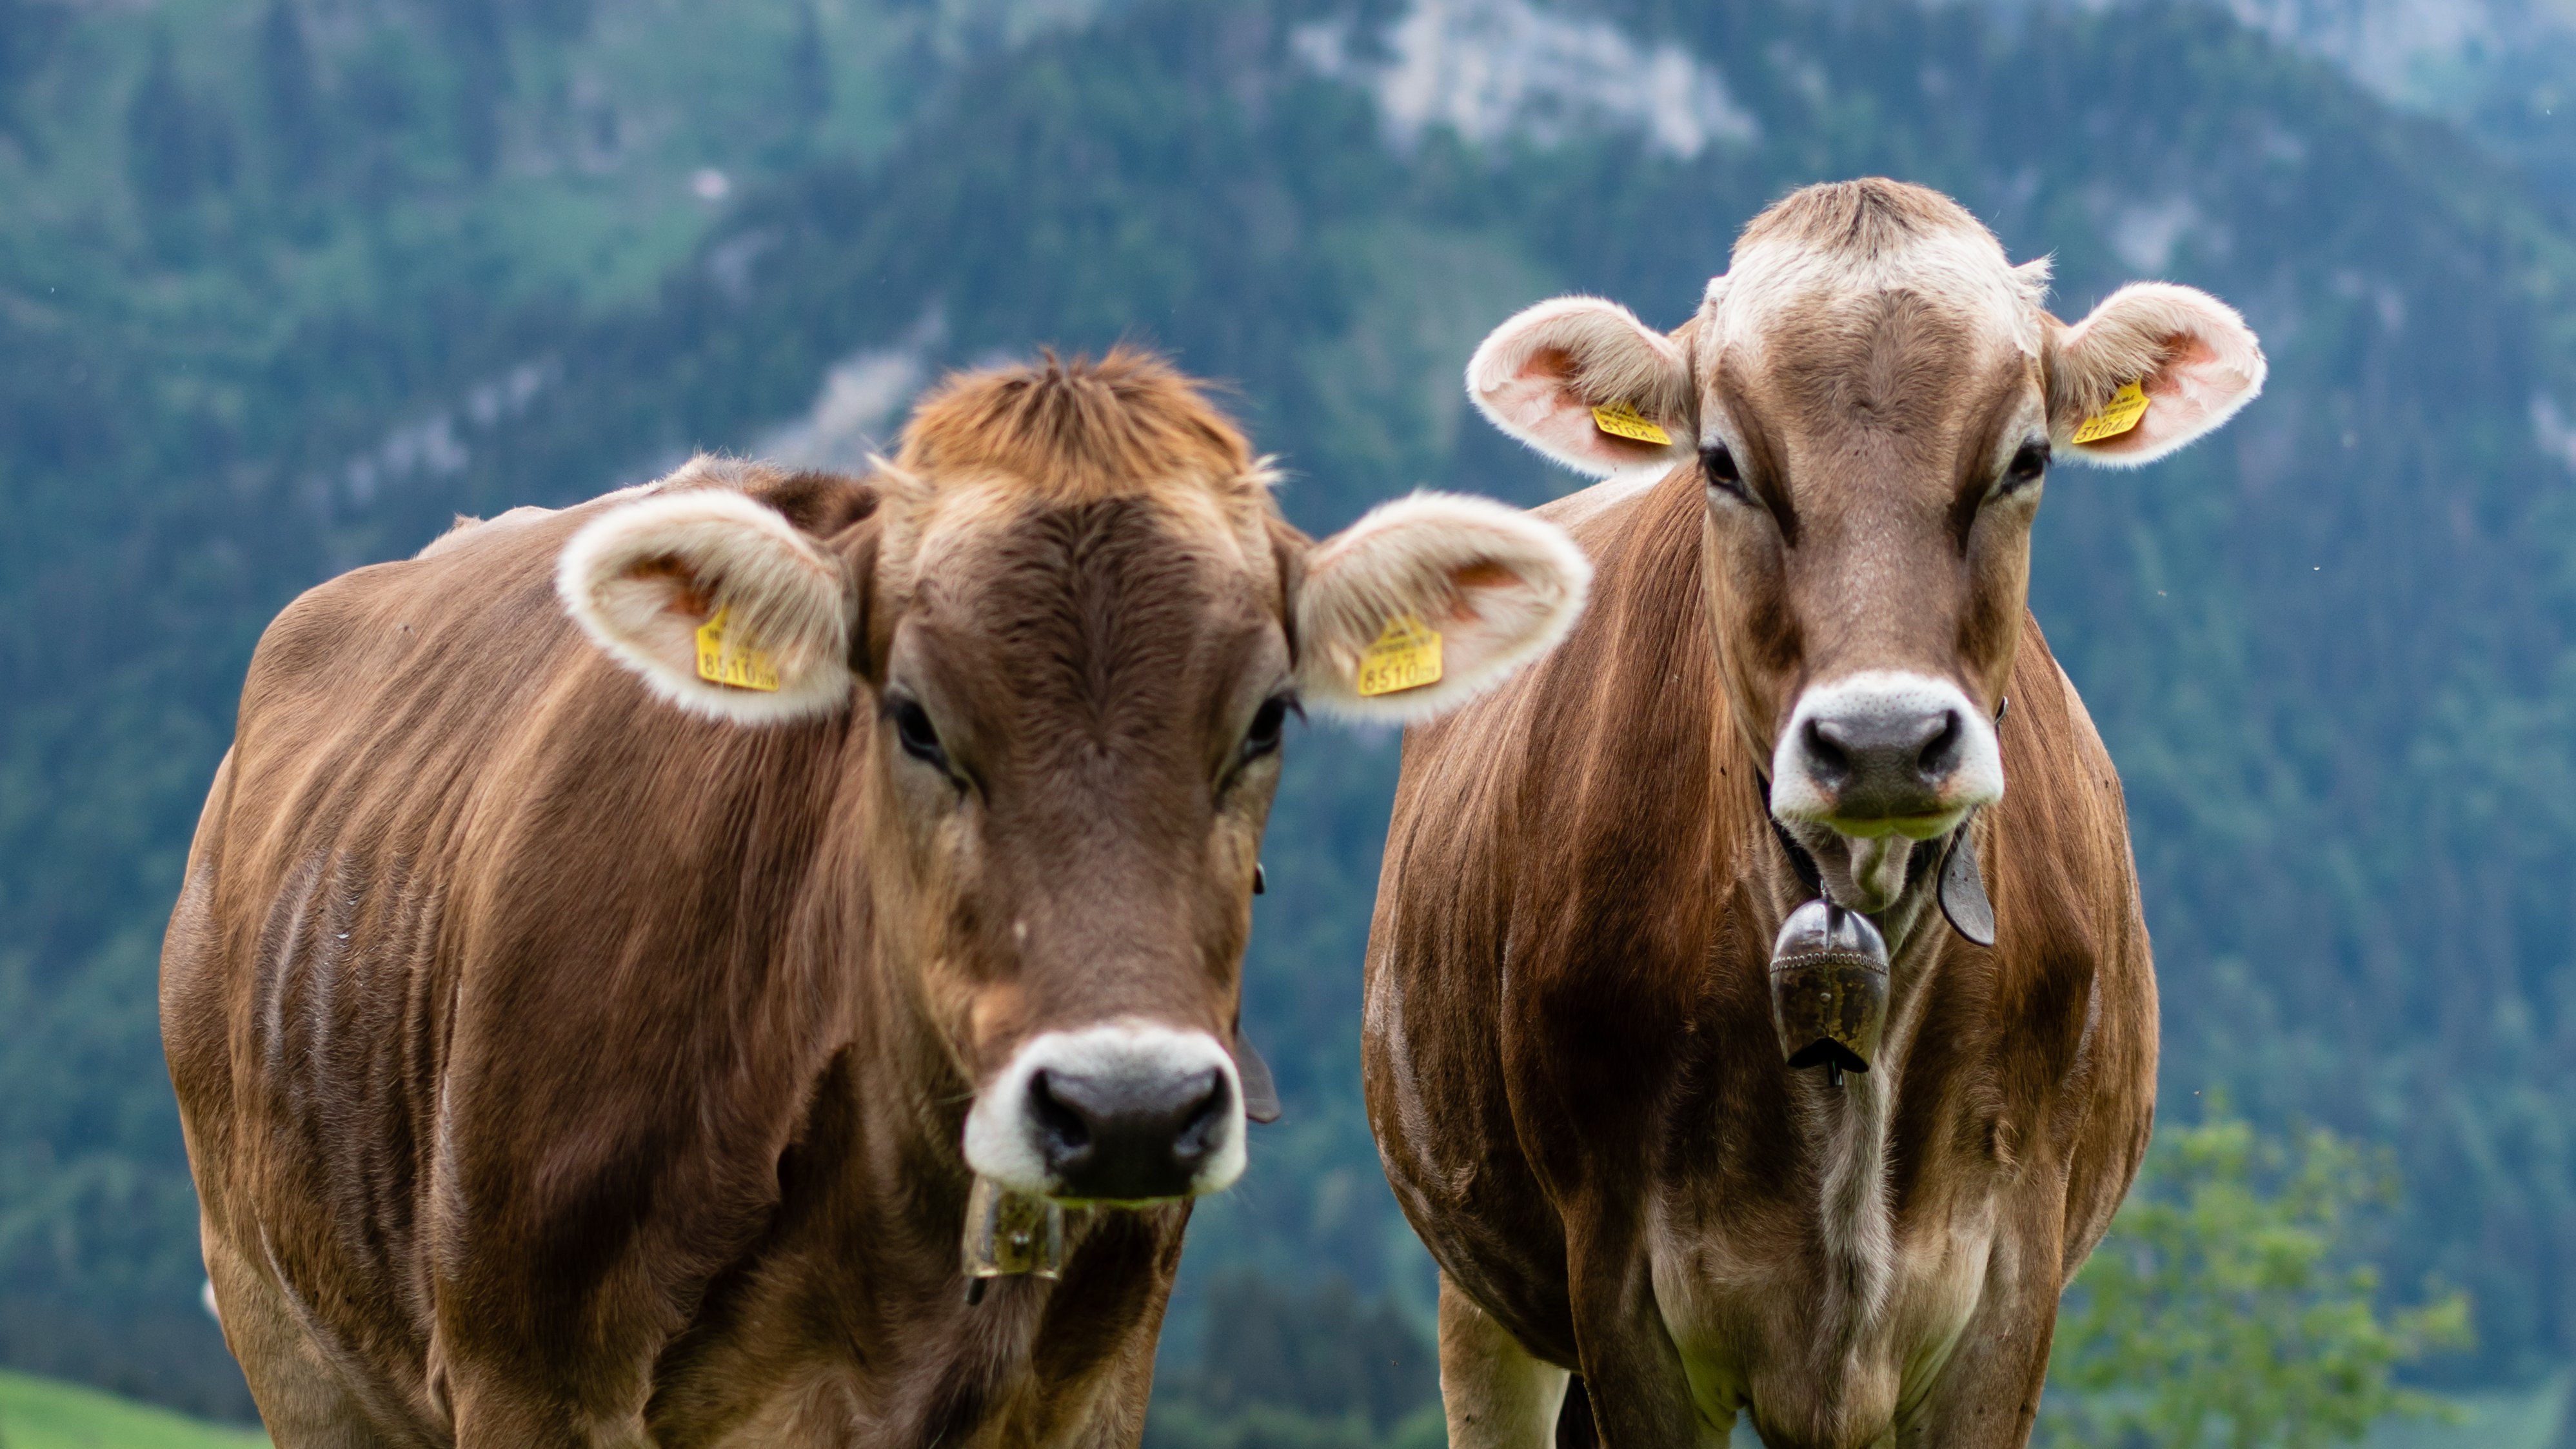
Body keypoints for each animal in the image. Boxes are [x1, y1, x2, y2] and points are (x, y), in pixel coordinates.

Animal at [161, 350, 1592, 1447]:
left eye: (1263, 718)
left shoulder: (1088, 1386)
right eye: (911, 717)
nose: (1125, 1109)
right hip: (289, 1332)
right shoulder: (528, 1374)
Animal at [1363, 179, 2266, 1449]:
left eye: (2026, 456)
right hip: (1477, 1286)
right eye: (1721, 462)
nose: (1882, 738)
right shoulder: (1621, 1295)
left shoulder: (2005, 1295)